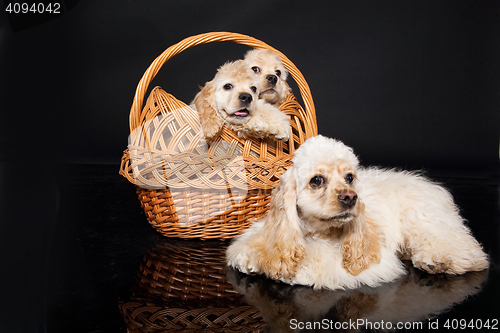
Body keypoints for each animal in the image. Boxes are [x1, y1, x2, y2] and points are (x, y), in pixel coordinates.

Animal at [229, 134, 490, 288]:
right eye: (316, 180)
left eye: (349, 177)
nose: (350, 197)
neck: (315, 231)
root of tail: (432, 186)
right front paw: (250, 258)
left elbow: (314, 263)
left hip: (423, 219)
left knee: (462, 247)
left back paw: (438, 260)